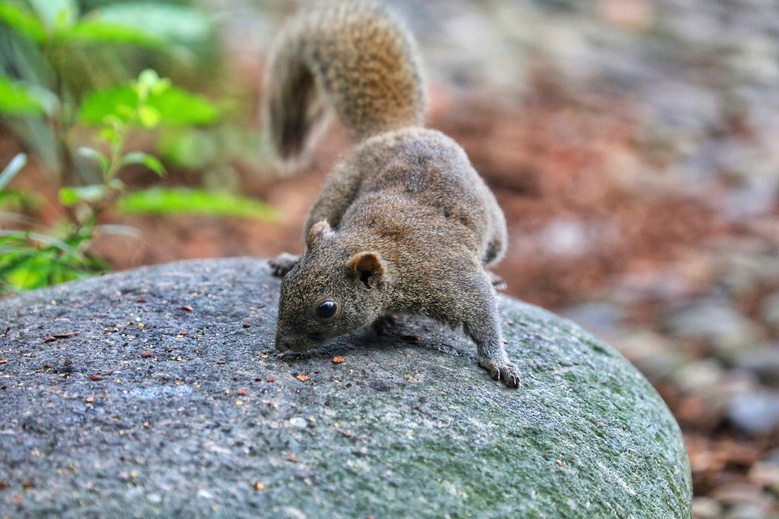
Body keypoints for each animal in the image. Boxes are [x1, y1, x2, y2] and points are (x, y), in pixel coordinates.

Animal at [266, 0, 520, 388]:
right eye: (288, 287)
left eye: (327, 309)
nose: (282, 345)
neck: (393, 257)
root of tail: (397, 130)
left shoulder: (452, 278)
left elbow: (483, 313)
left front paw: (499, 362)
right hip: (334, 193)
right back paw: (287, 256)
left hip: (497, 234)